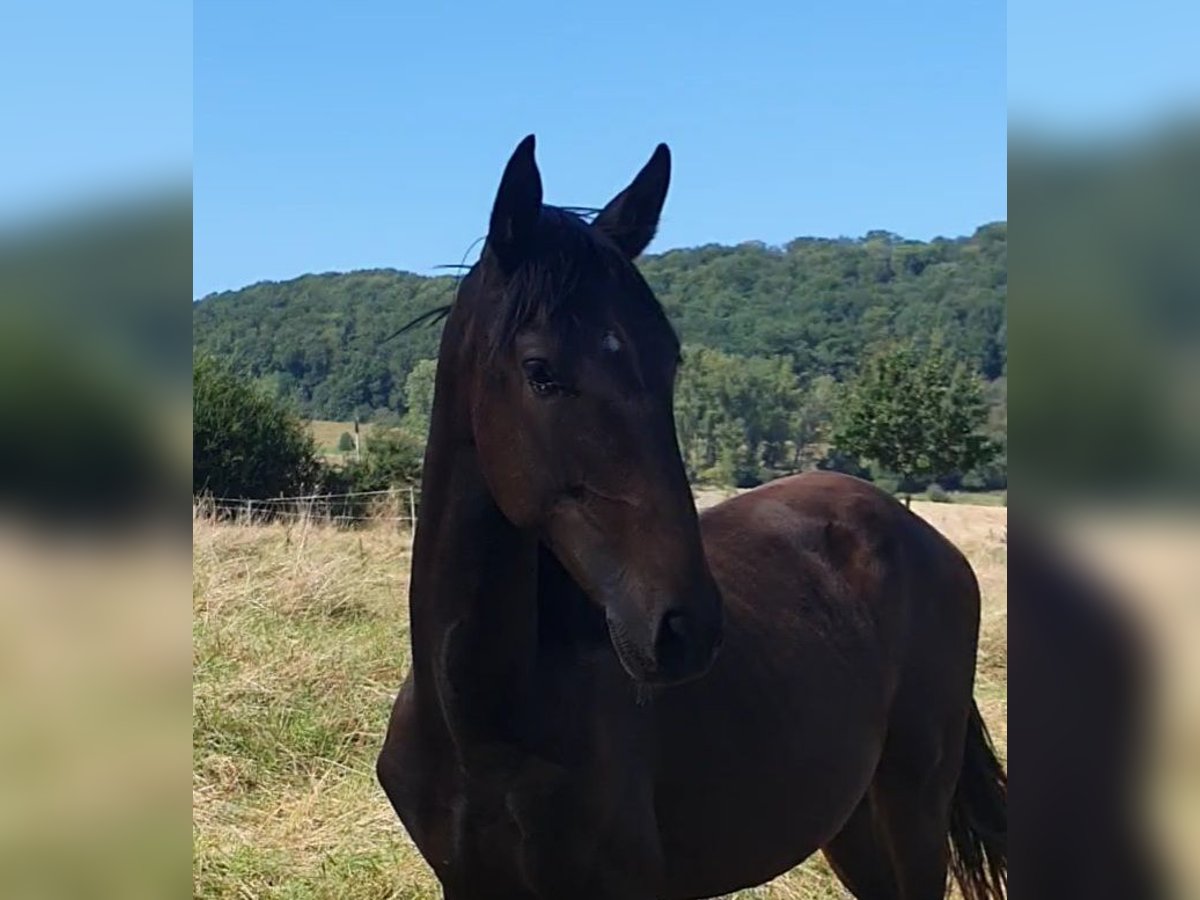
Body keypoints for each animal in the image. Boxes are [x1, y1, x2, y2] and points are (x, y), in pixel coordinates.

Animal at [374, 137, 1003, 897]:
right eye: (540, 371)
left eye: (670, 361)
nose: (684, 628)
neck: (484, 725)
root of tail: (921, 537)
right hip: (851, 820)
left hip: (914, 807)